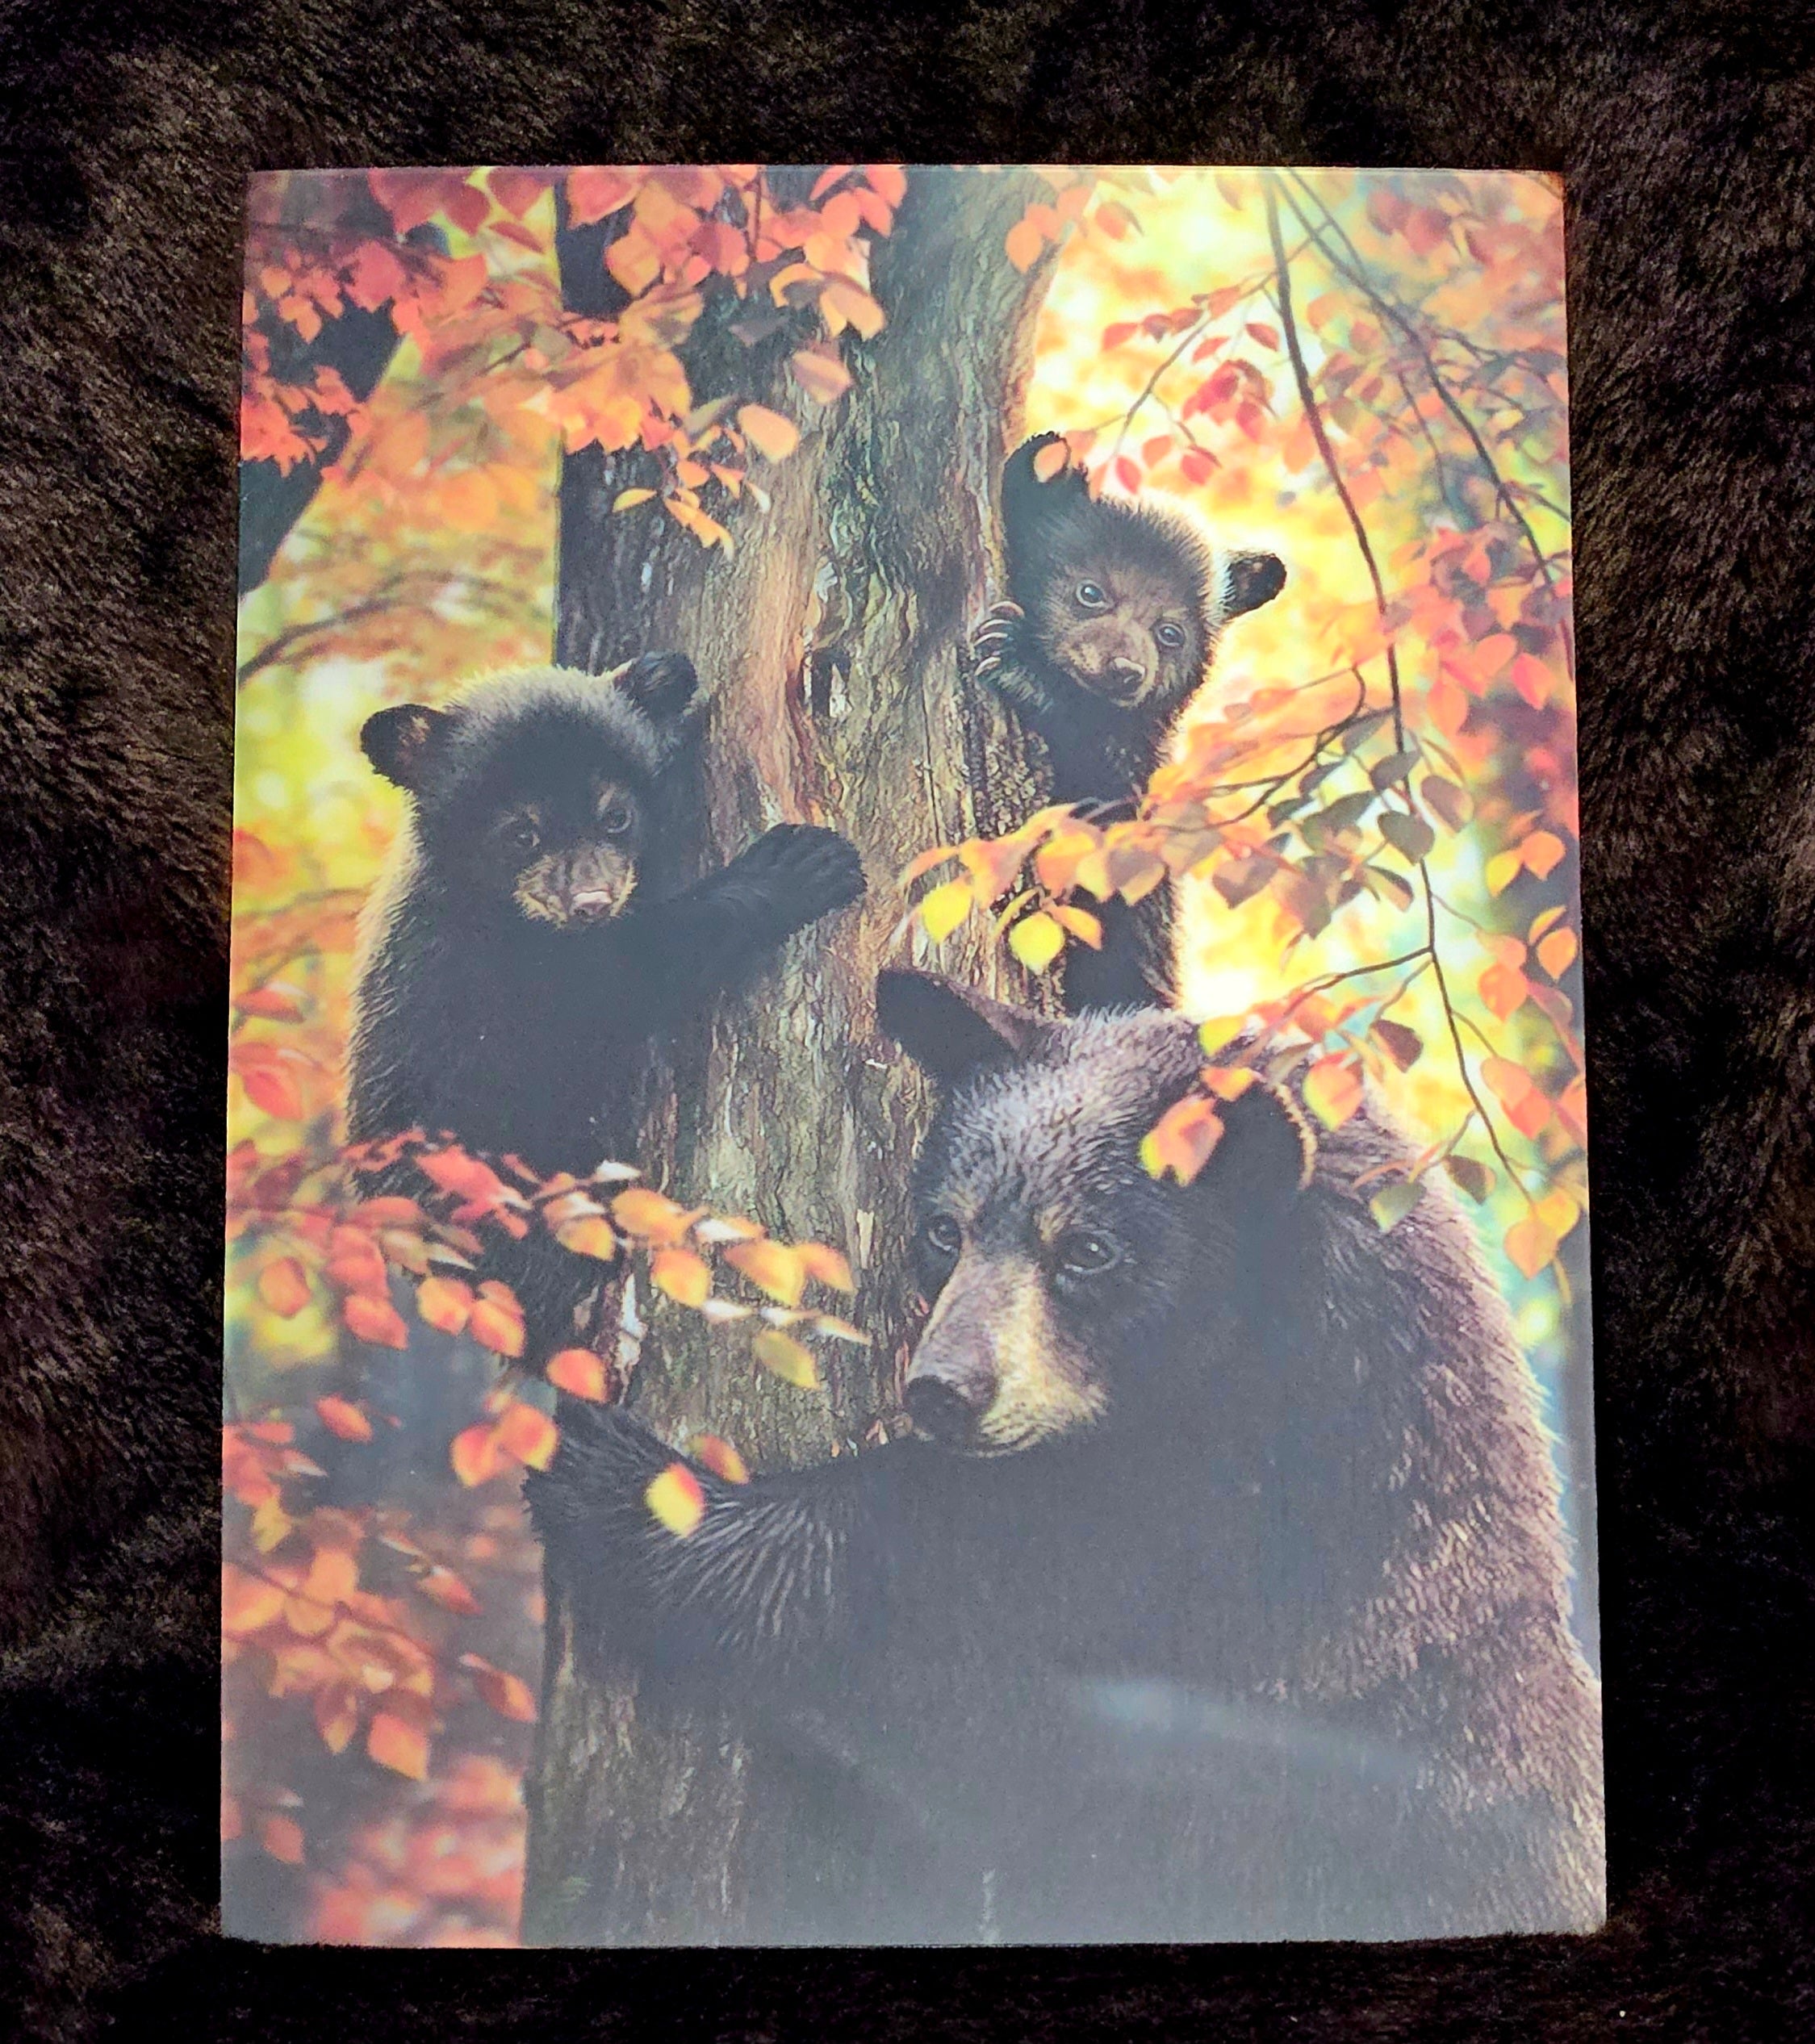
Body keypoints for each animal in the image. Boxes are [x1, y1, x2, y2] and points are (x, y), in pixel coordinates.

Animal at [346, 654, 865, 1354]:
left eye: (615, 815)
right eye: (521, 833)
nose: (590, 903)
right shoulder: (487, 973)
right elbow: (625, 977)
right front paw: (799, 865)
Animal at [527, 968, 1605, 1946]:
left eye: (1088, 1249)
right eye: (943, 1227)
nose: (942, 1388)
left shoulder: (1221, 1602)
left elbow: (955, 1673)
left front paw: (609, 1469)